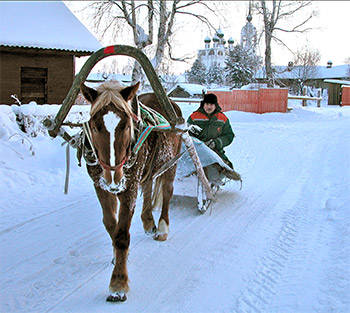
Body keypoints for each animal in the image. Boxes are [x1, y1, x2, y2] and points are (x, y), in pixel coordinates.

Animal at [80, 81, 182, 302]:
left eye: (126, 125)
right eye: (94, 125)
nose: (114, 178)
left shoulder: (130, 187)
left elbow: (121, 235)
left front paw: (118, 283)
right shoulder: (100, 185)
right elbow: (111, 224)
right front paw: (119, 257)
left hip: (171, 163)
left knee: (167, 191)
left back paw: (162, 228)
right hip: (148, 169)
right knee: (149, 186)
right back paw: (148, 221)